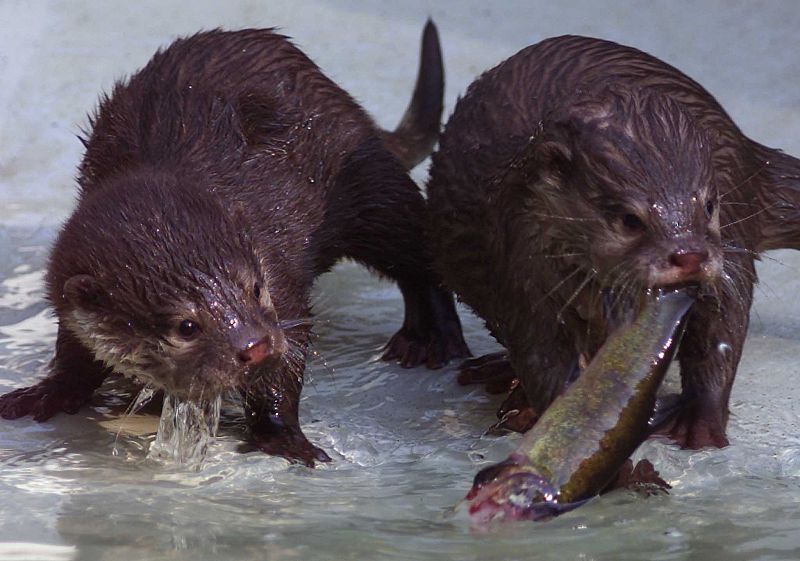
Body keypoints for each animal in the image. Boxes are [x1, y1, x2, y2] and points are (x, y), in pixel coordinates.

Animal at [0, 20, 468, 464]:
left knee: (417, 251)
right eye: (186, 326)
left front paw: (282, 436)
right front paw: (47, 391)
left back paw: (430, 339)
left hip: (369, 180)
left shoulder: (279, 281)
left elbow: (289, 357)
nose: (255, 346)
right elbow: (74, 352)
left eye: (255, 289)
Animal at [424, 35, 800, 448]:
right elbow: (542, 358)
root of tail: (748, 154)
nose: (690, 254)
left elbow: (721, 327)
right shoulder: (520, 269)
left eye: (708, 204)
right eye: (629, 219)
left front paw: (699, 420)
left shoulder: (728, 240)